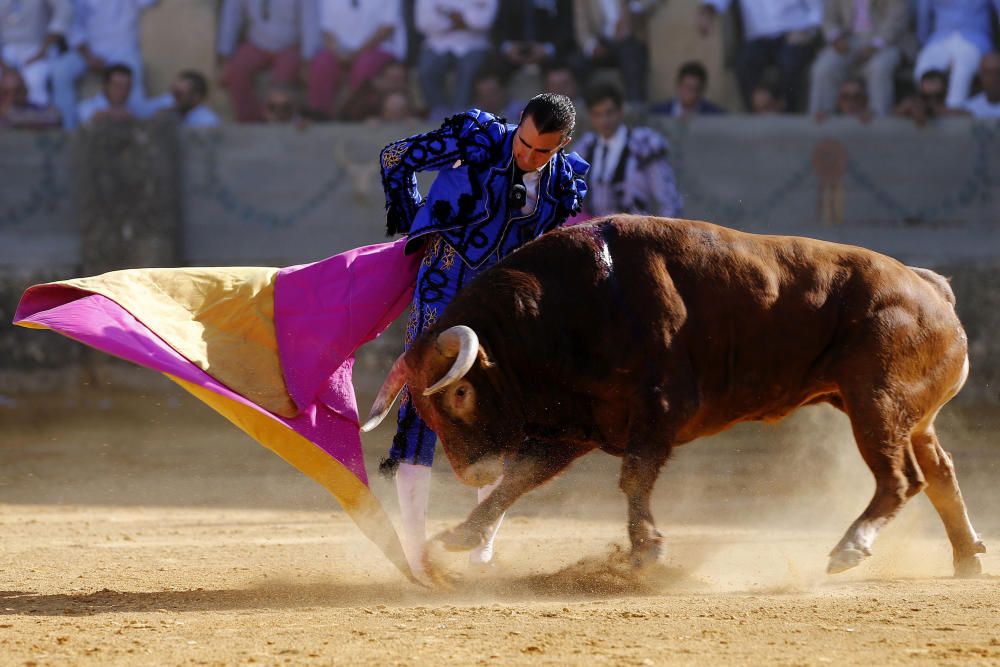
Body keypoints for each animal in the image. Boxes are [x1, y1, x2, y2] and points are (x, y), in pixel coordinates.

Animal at [364, 218, 988, 580]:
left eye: (461, 391)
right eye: (424, 406)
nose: (470, 472)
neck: (565, 312)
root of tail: (930, 288)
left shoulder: (658, 413)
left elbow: (633, 480)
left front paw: (647, 552)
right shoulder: (576, 427)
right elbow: (521, 479)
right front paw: (461, 535)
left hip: (874, 402)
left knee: (901, 478)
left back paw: (849, 548)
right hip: (906, 415)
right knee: (940, 472)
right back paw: (966, 557)